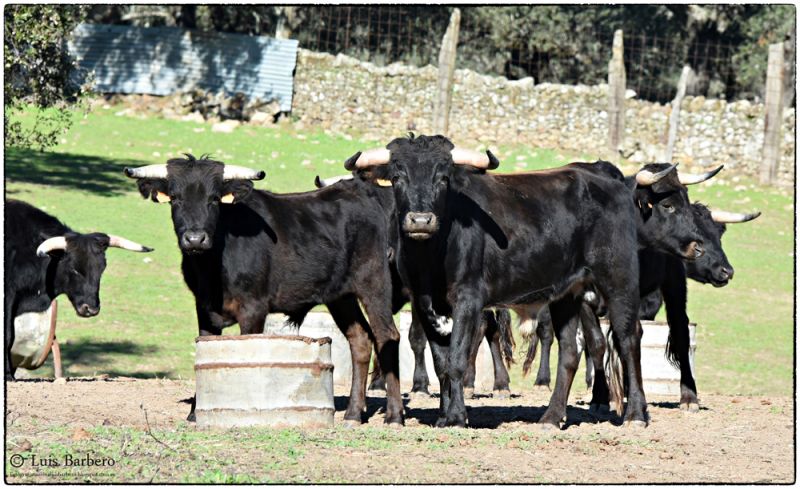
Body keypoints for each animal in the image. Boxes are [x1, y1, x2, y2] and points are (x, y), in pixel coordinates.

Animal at [4, 199, 153, 380]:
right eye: (74, 269)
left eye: (102, 268)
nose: (91, 309)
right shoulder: (9, 296)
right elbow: (8, 335)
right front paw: (8, 375)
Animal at [124, 155, 404, 426]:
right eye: (175, 198)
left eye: (213, 199)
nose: (195, 239)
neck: (212, 266)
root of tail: (361, 192)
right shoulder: (204, 308)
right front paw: (195, 411)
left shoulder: (253, 308)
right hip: (341, 296)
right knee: (360, 340)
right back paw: (353, 414)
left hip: (374, 283)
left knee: (387, 335)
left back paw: (394, 415)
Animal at [342, 135, 692, 428]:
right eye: (397, 177)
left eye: (442, 178)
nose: (420, 221)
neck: (431, 254)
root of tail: (613, 185)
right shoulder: (424, 302)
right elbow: (441, 363)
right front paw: (443, 415)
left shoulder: (468, 300)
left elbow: (457, 359)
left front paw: (456, 418)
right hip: (568, 294)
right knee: (571, 351)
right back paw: (551, 418)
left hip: (617, 278)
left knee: (628, 338)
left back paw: (635, 415)